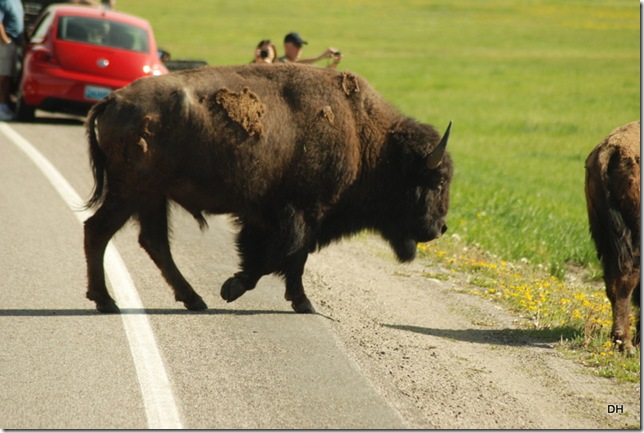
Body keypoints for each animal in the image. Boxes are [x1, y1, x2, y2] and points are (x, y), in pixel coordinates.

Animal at [83, 62, 452, 314]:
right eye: (437, 181)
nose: (441, 227)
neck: (364, 136)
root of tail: (113, 100)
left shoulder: (279, 217)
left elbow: (287, 258)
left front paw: (298, 301)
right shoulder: (302, 213)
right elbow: (286, 255)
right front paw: (238, 288)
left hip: (151, 196)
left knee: (153, 242)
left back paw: (193, 299)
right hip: (131, 192)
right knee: (98, 230)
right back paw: (107, 301)